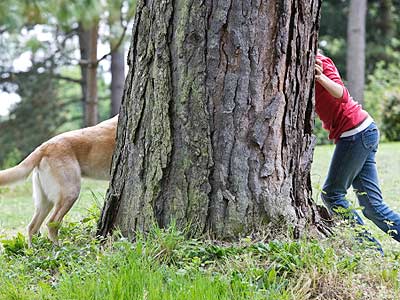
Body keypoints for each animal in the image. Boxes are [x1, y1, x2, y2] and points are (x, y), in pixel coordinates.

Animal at [0, 115, 118, 246]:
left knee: (32, 227)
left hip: (45, 201)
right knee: (51, 223)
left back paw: (33, 249)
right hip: (70, 193)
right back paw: (58, 247)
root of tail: (44, 146)